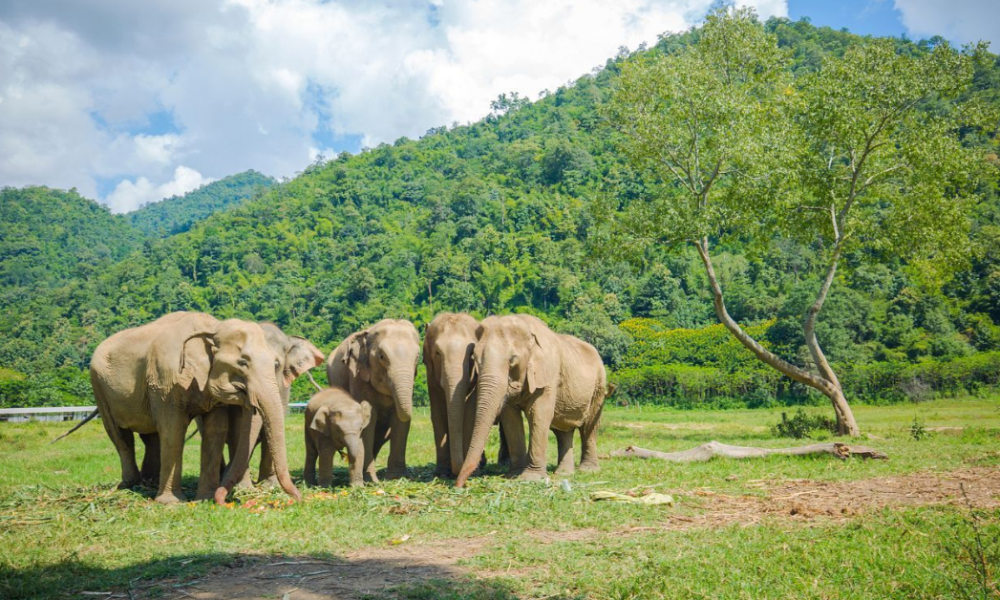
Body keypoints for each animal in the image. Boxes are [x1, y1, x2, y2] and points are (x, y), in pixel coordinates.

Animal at [89, 311, 300, 505]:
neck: (212, 328)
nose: (298, 498)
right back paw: (131, 485)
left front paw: (205, 499)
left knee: (150, 437)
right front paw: (171, 503)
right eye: (242, 362)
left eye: (275, 364)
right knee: (120, 436)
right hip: (99, 388)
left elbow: (216, 431)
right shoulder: (164, 381)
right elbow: (173, 431)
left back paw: (149, 483)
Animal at [327, 319, 420, 482]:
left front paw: (397, 478)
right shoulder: (357, 375)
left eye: (418, 358)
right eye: (381, 357)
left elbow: (399, 420)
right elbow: (369, 419)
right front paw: (370, 480)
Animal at [455, 314, 608, 488]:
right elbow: (510, 418)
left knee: (589, 426)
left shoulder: (548, 373)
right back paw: (564, 473)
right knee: (563, 431)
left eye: (512, 360)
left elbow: (538, 414)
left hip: (599, 387)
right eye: (474, 358)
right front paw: (513, 476)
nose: (459, 485)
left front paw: (530, 478)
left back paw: (587, 470)